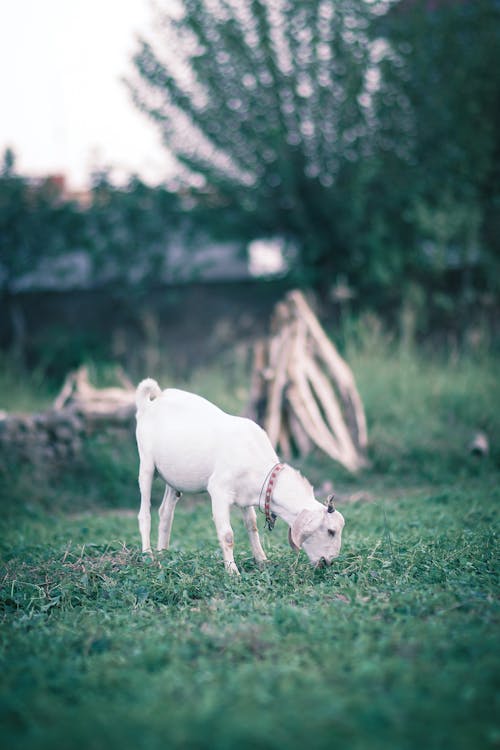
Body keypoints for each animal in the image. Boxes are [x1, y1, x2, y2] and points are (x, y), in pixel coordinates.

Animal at [134, 382, 344, 576]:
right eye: (330, 531)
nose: (328, 562)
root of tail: (151, 403)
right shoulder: (218, 491)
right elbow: (227, 535)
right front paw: (232, 571)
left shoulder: (248, 495)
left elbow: (252, 526)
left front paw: (262, 560)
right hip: (146, 465)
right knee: (145, 514)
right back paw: (148, 556)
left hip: (173, 479)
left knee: (166, 513)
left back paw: (163, 555)